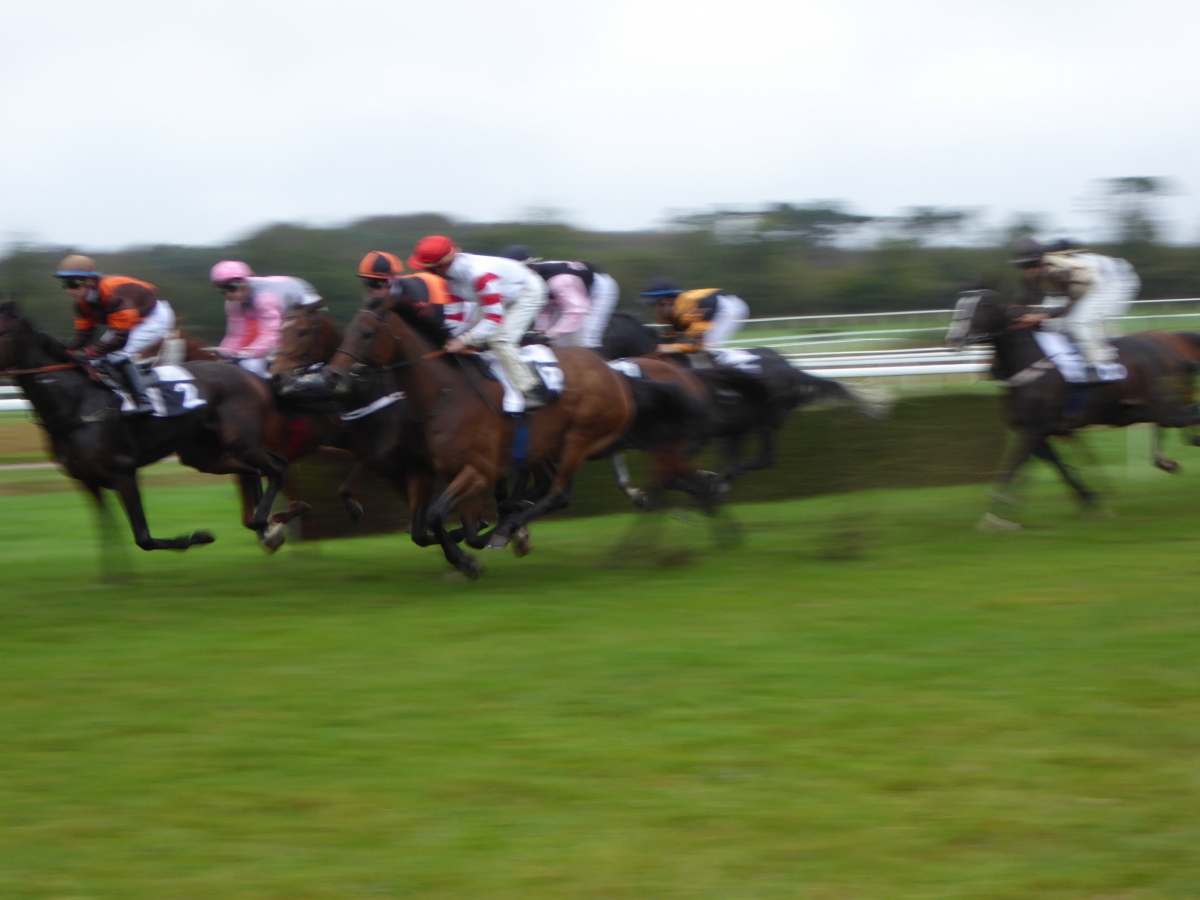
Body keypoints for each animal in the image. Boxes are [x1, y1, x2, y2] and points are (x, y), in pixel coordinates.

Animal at [319, 300, 638, 573]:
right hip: (546, 446)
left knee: (558, 495)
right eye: (348, 330)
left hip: (579, 438)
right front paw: (475, 543)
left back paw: (508, 528)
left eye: (367, 334)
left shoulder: (477, 471)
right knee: (546, 486)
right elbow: (438, 529)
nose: (331, 376)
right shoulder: (439, 470)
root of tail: (610, 369)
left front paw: (469, 559)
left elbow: (436, 516)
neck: (447, 394)